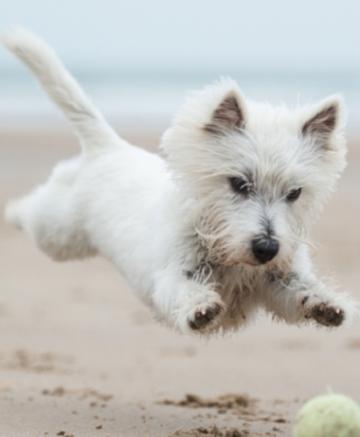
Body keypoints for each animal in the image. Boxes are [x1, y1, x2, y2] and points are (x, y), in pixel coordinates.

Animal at [3, 29, 358, 334]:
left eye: (294, 193)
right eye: (239, 184)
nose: (267, 248)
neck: (226, 252)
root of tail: (110, 146)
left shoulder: (277, 279)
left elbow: (298, 289)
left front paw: (328, 304)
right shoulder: (172, 273)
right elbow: (183, 289)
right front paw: (200, 308)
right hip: (58, 232)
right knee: (34, 210)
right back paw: (11, 211)